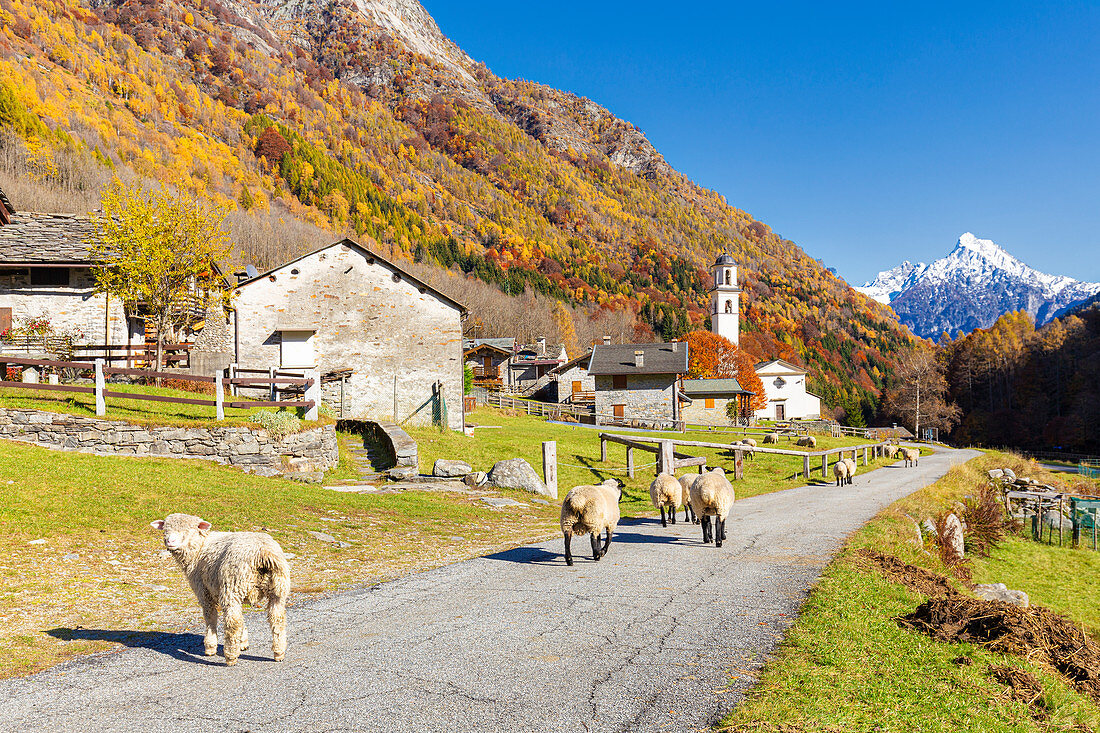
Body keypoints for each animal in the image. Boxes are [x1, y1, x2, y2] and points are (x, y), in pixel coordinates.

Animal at [155, 510, 294, 664]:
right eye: (165, 529)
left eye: (188, 530)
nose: (170, 541)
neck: (199, 548)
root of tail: (263, 552)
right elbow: (242, 618)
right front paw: (243, 642)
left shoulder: (203, 591)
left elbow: (210, 617)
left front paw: (210, 646)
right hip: (278, 588)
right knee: (277, 619)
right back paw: (279, 653)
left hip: (232, 586)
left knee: (233, 623)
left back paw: (230, 656)